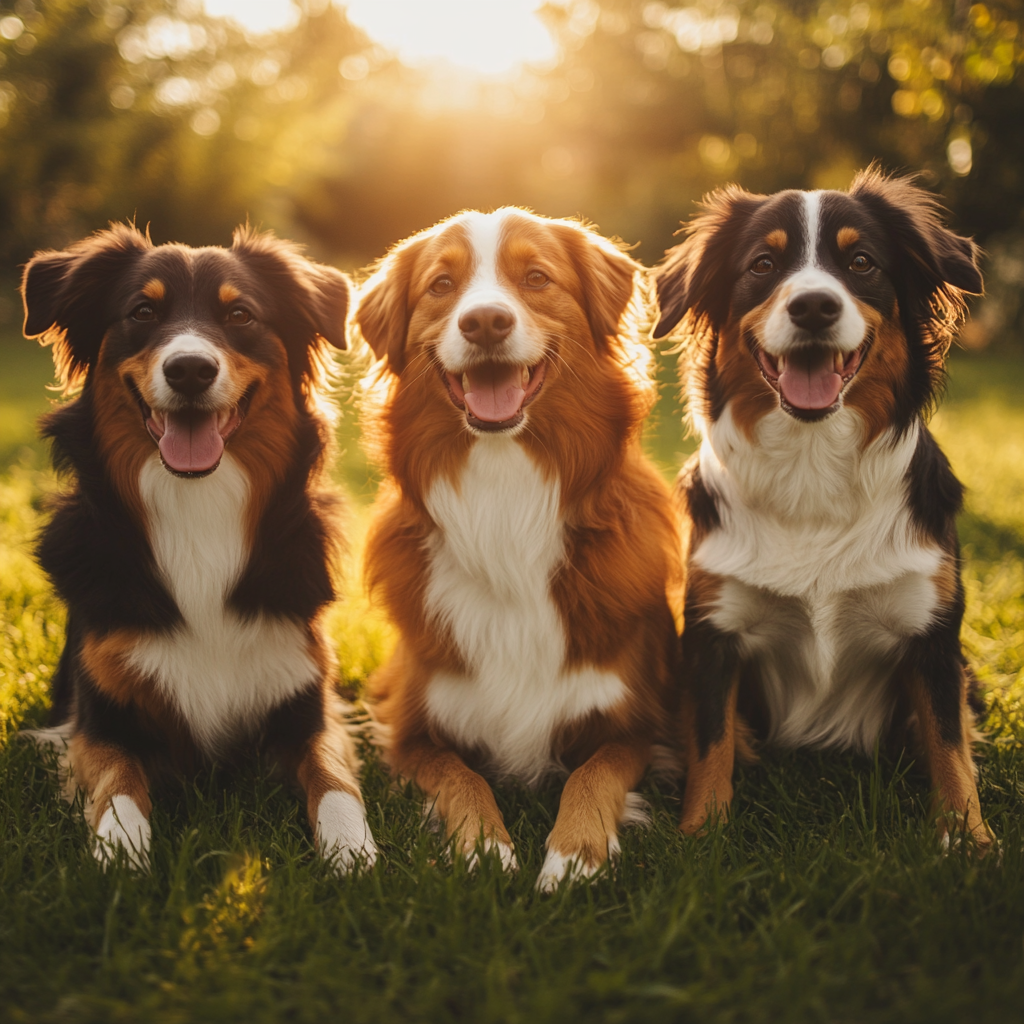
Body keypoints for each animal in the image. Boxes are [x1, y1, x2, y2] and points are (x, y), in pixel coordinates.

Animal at [19, 224, 378, 872]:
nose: (189, 369)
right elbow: (117, 783)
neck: (198, 507)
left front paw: (352, 852)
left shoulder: (307, 704)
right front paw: (122, 853)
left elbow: (336, 780)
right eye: (142, 312)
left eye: (240, 315)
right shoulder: (98, 721)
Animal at [352, 205, 679, 888]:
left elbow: (592, 775)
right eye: (441, 285)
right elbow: (461, 777)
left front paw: (576, 853)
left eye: (535, 278)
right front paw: (483, 847)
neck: (505, 497)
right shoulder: (410, 730)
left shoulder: (637, 725)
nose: (484, 321)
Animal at [651, 167, 995, 851]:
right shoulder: (713, 629)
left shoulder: (933, 632)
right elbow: (711, 738)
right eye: (762, 265)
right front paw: (701, 836)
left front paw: (969, 839)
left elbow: (949, 742)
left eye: (861, 262)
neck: (811, 467)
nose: (813, 306)